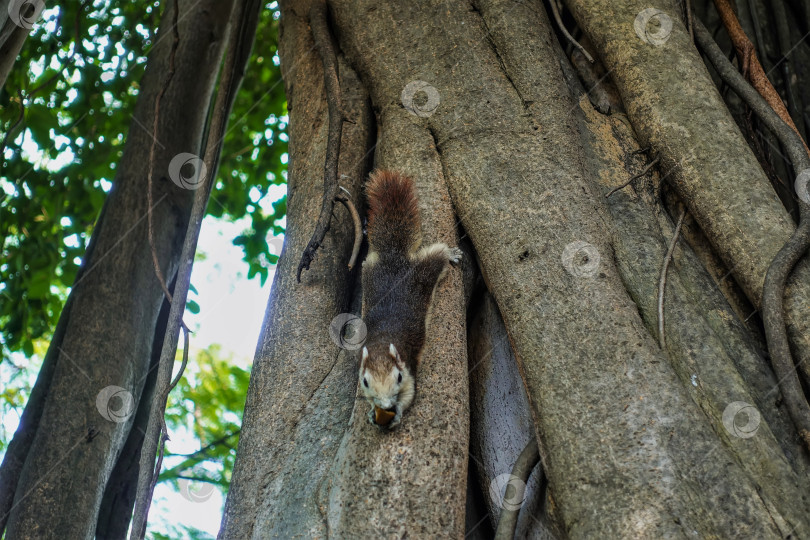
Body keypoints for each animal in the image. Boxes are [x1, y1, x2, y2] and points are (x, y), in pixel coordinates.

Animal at [356, 170, 460, 430]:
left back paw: (451, 253)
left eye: (399, 377)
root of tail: (394, 256)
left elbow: (410, 393)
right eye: (365, 382)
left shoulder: (410, 364)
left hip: (422, 272)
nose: (385, 405)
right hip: (370, 272)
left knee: (436, 255)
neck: (383, 341)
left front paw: (398, 412)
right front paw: (372, 412)